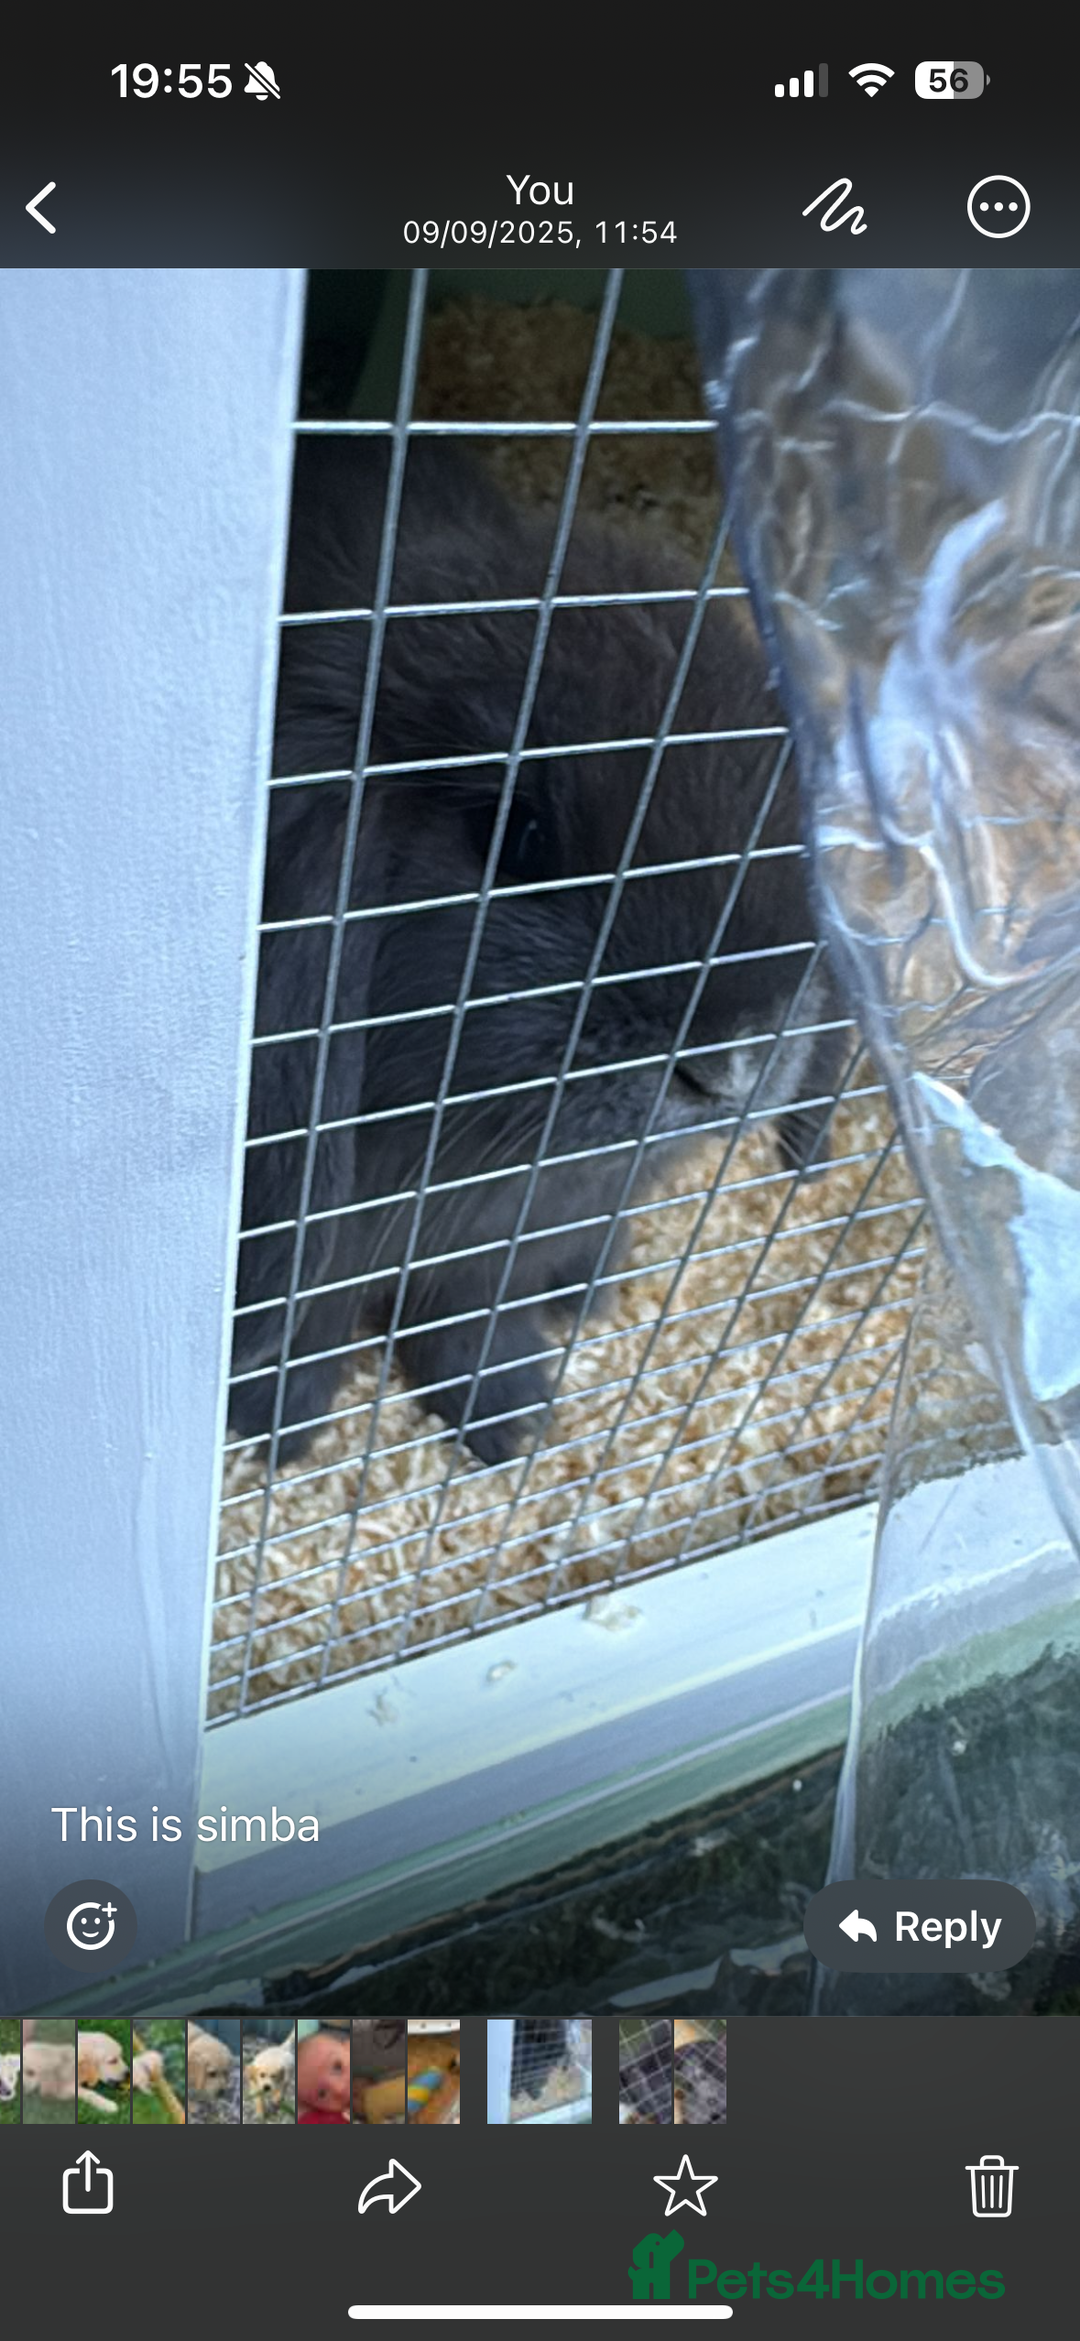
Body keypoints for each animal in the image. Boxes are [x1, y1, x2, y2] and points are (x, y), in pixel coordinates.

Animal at [227, 439, 847, 1468]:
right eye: (513, 836)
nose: (730, 1064)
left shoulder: (499, 1252)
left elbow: (470, 1324)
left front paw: (510, 1418)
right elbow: (309, 1329)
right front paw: (278, 1426)